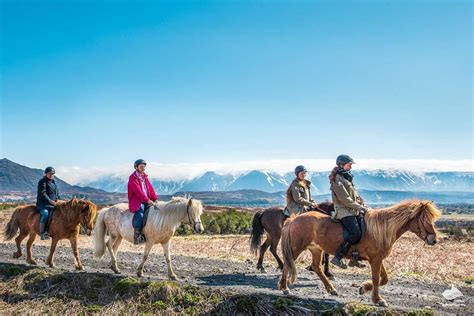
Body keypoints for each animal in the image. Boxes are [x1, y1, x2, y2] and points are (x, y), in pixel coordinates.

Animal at [278, 200, 440, 306]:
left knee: (316, 267)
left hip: (316, 249)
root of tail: (294, 219)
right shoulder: (375, 259)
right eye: (424, 218)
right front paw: (378, 300)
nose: (434, 240)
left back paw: (331, 289)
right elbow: (376, 279)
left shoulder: (378, 258)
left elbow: (384, 278)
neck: (382, 229)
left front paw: (363, 288)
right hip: (296, 247)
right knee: (287, 263)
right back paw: (285, 288)